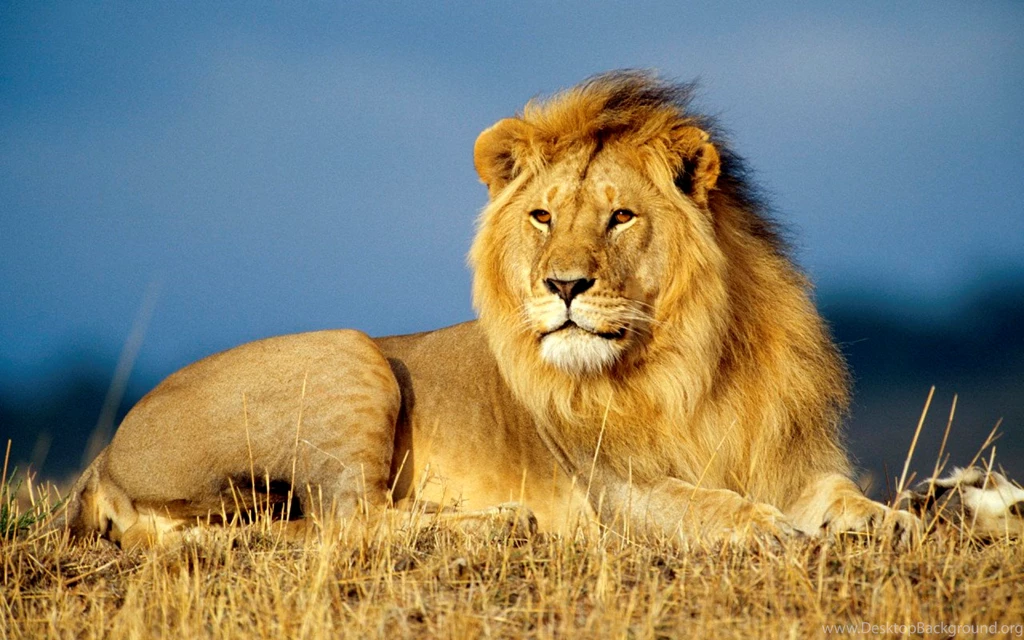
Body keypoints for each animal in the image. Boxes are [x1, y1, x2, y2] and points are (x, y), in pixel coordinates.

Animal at [59, 71, 920, 549]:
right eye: (542, 217)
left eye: (620, 217)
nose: (563, 286)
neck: (691, 361)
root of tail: (103, 457)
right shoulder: (614, 490)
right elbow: (700, 502)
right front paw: (761, 526)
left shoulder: (788, 457)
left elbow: (838, 495)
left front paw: (892, 520)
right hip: (350, 354)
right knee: (349, 522)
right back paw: (500, 523)